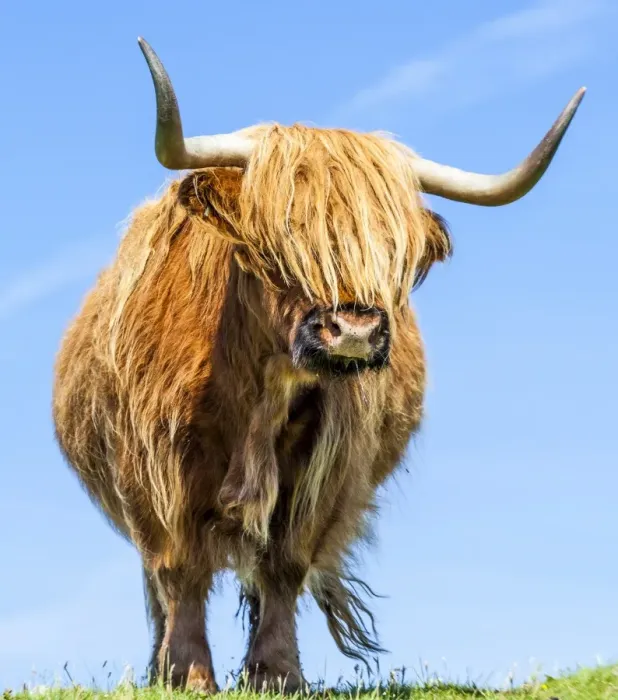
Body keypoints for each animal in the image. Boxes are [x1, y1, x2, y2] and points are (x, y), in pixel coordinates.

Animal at [52, 37, 585, 693]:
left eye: (394, 251)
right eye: (275, 243)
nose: (352, 331)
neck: (256, 391)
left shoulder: (324, 467)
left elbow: (284, 563)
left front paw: (277, 673)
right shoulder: (156, 470)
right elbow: (179, 570)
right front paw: (187, 674)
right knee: (161, 586)